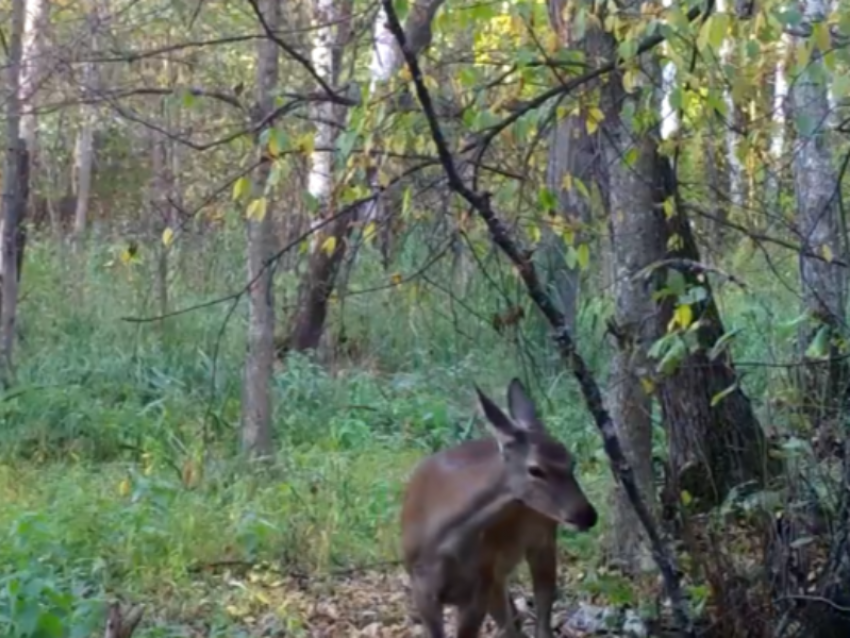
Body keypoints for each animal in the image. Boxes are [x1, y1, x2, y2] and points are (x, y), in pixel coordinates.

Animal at [400, 380, 592, 638]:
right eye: (535, 469)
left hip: (541, 541)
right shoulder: (422, 590)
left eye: (572, 461)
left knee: (539, 620)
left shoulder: (480, 587)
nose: (587, 515)